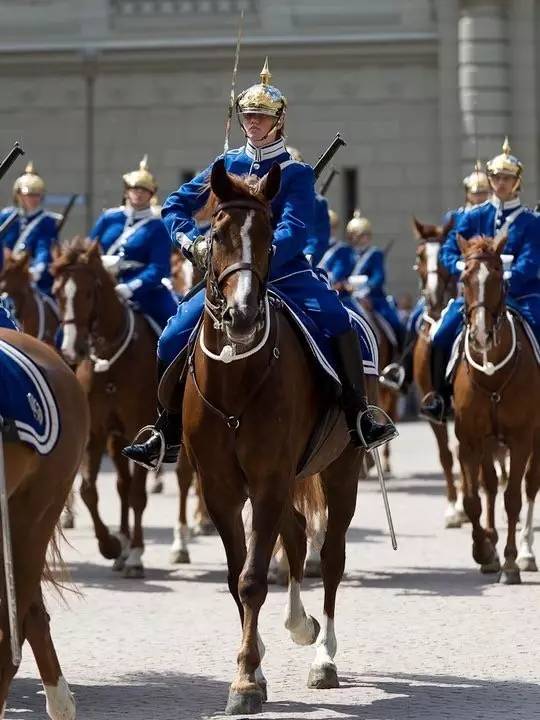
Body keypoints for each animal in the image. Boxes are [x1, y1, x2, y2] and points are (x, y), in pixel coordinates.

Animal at [51, 242, 156, 580]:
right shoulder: (95, 434)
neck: (111, 362)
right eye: (57, 292)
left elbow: (138, 495)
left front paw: (135, 554)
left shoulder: (142, 431)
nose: (72, 350)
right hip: (116, 439)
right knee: (121, 486)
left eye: (87, 292)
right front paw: (110, 545)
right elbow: (88, 491)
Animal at [179, 162, 382, 716]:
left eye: (271, 234)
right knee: (294, 533)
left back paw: (323, 656)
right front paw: (254, 666)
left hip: (341, 472)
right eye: (217, 234)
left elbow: (252, 579)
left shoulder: (269, 478)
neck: (236, 379)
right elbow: (237, 577)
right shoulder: (221, 488)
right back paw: (297, 626)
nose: (243, 315)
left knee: (330, 556)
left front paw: (246, 681)